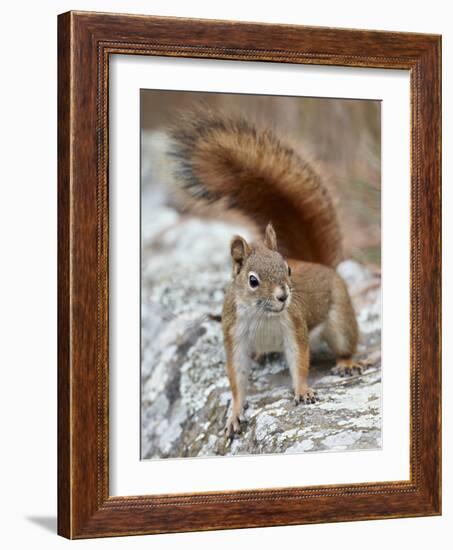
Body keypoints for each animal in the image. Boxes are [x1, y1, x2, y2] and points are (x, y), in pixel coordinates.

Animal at [166, 106, 360, 436]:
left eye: (288, 269)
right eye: (253, 280)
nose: (283, 297)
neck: (261, 315)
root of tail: (321, 265)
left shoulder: (294, 326)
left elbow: (299, 360)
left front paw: (302, 391)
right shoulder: (234, 335)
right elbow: (236, 376)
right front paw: (234, 413)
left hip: (339, 320)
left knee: (345, 342)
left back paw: (346, 363)